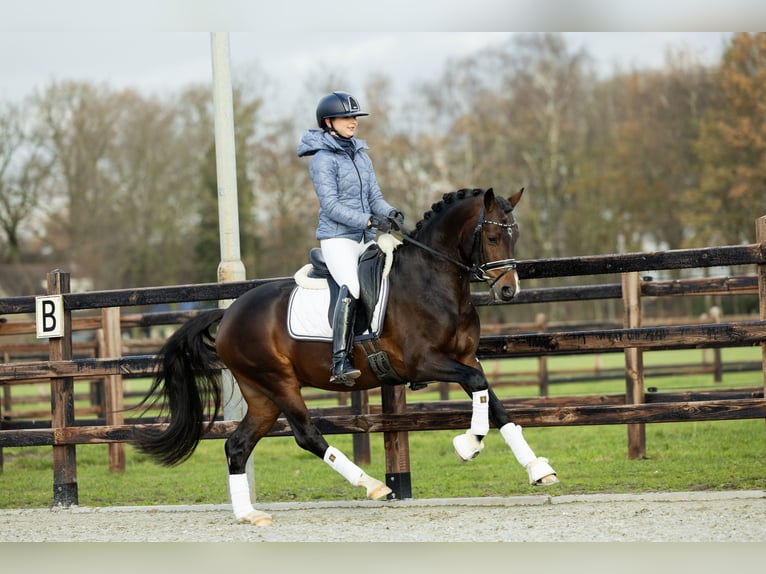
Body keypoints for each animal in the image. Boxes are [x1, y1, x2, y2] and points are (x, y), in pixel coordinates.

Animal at [136, 188, 560, 528]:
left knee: (237, 446)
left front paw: (539, 469)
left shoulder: (467, 358)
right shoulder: (422, 362)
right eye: (491, 236)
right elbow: (478, 389)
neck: (433, 281)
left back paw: (249, 514)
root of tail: (228, 315)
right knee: (306, 435)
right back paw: (373, 486)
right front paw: (468, 445)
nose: (508, 291)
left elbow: (495, 402)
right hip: (280, 383)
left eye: (515, 235)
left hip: (261, 396)